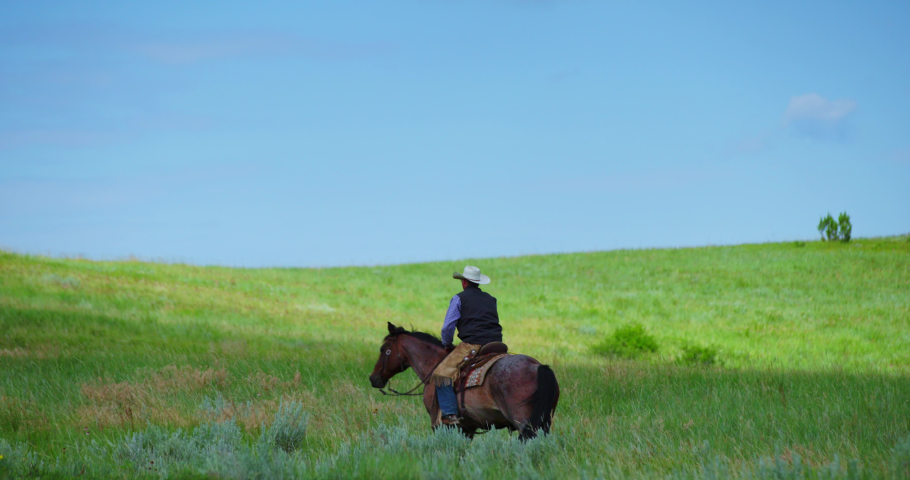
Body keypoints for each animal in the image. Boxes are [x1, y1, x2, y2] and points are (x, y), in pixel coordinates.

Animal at [369, 322, 559, 440]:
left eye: (383, 349)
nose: (373, 378)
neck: (434, 363)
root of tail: (538, 367)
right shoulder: (468, 427)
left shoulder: (440, 424)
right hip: (543, 421)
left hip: (524, 422)